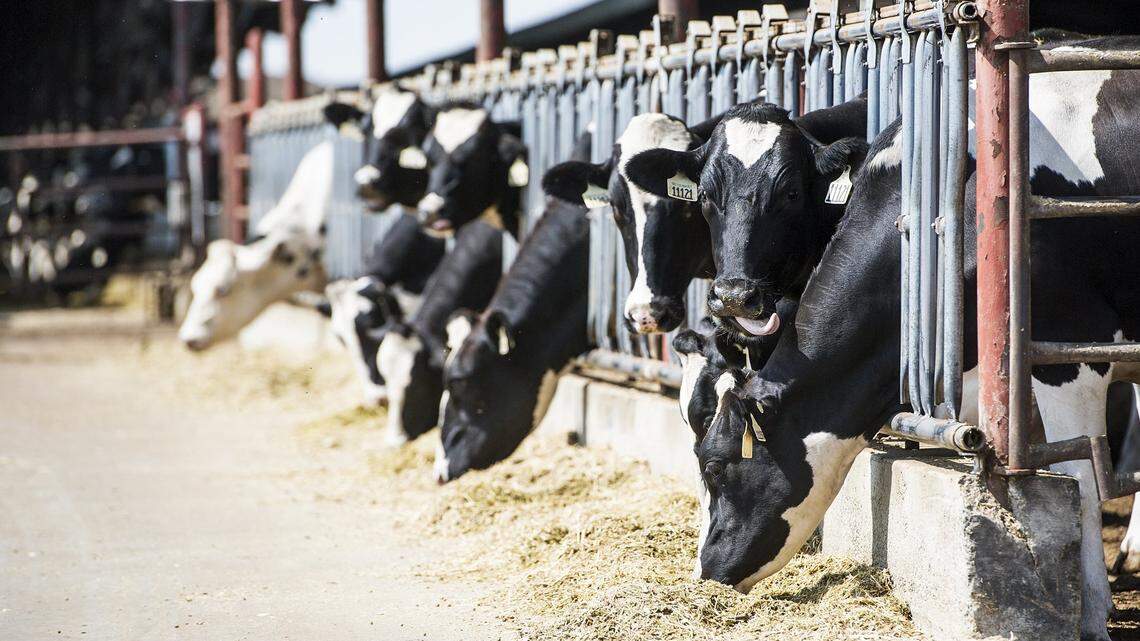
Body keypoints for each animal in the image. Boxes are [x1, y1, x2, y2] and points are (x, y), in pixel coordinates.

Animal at [628, 55, 1140, 639]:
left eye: (714, 466)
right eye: (705, 199)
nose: (705, 571)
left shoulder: (1069, 345)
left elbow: (1083, 478)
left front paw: (1094, 614)